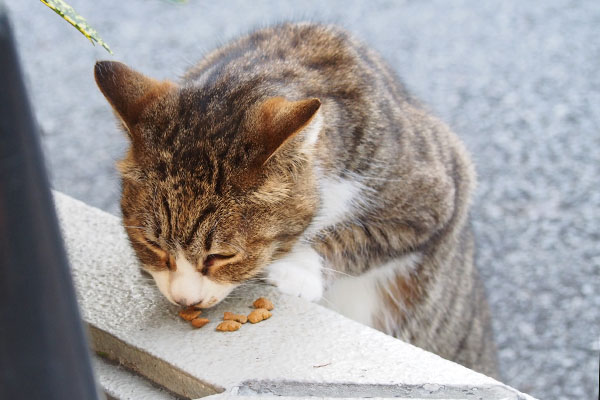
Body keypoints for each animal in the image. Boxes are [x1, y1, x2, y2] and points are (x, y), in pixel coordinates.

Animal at [94, 21, 500, 378]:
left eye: (221, 257)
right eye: (153, 245)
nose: (184, 301)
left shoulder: (438, 190)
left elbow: (364, 235)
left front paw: (299, 268)